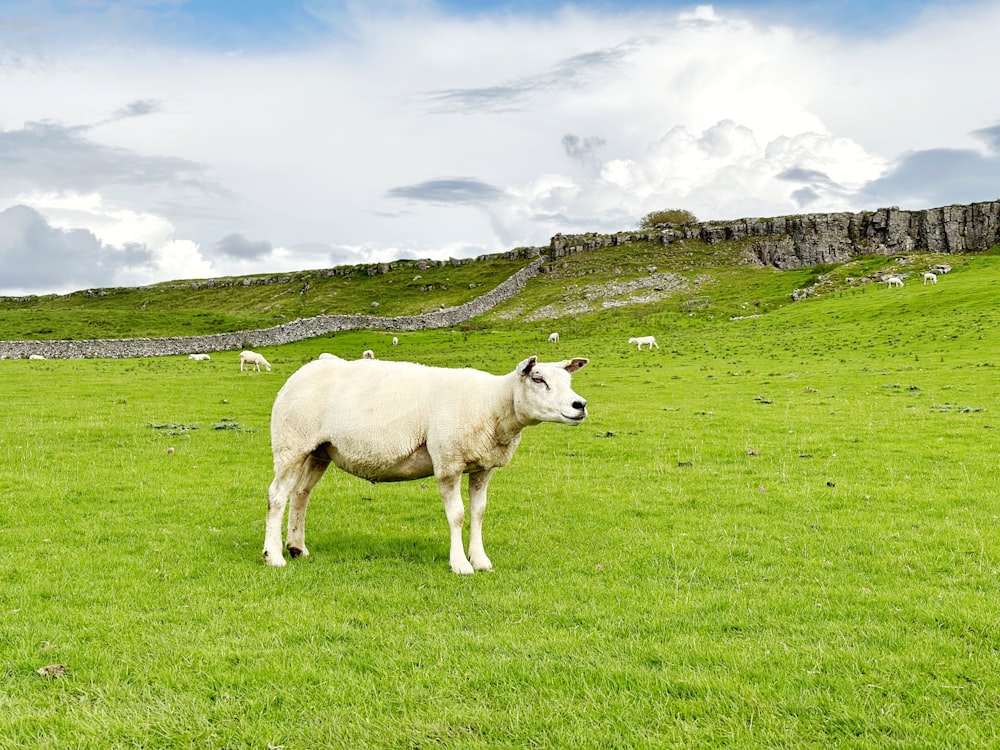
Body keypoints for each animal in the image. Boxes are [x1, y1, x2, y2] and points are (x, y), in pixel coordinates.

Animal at [264, 356, 592, 576]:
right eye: (538, 379)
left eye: (568, 381)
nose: (580, 405)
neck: (492, 404)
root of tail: (302, 371)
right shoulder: (448, 462)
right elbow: (458, 516)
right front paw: (460, 564)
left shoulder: (483, 467)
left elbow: (479, 513)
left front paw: (481, 560)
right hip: (291, 443)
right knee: (277, 496)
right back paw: (274, 556)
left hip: (319, 451)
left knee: (301, 494)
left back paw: (297, 547)